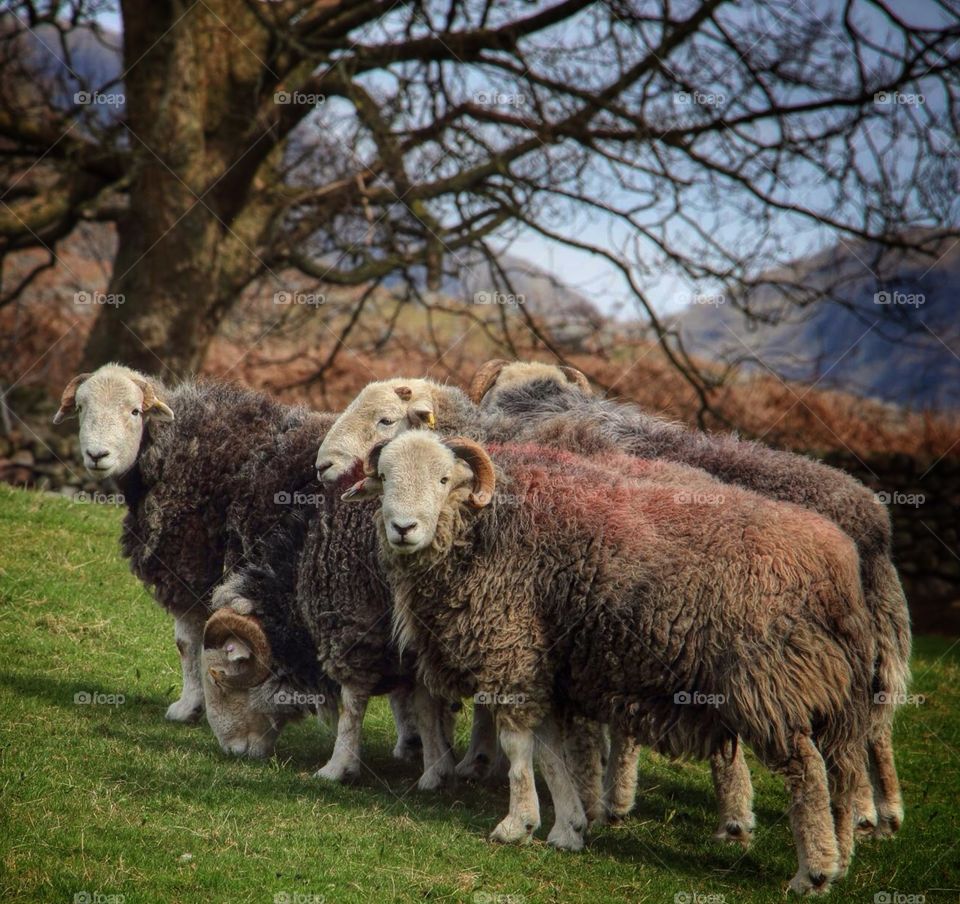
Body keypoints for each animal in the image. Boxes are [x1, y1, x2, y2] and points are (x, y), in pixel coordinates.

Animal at [201, 410, 455, 787]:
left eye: (218, 682)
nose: (230, 752)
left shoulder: (352, 625)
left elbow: (353, 703)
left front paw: (338, 767)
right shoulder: (414, 646)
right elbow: (426, 706)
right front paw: (437, 768)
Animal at [342, 431, 874, 895]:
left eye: (443, 480)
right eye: (384, 477)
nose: (403, 529)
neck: (482, 528)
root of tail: (838, 567)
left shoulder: (513, 651)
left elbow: (518, 748)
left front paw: (517, 824)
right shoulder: (545, 665)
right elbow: (550, 753)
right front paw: (569, 828)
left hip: (769, 684)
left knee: (807, 773)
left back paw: (813, 873)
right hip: (832, 690)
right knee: (844, 769)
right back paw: (843, 859)